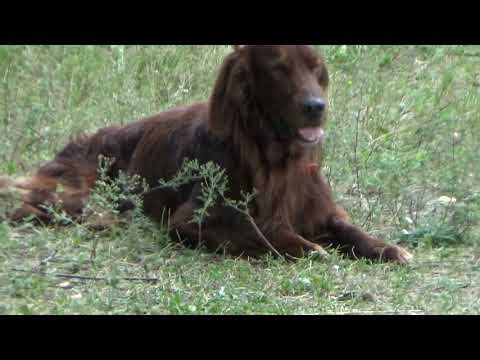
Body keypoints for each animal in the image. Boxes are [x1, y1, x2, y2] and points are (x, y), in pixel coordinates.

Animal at [5, 46, 412, 262]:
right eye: (280, 68)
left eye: (316, 69)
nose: (317, 107)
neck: (273, 157)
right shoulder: (191, 220)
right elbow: (261, 232)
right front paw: (309, 246)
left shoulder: (319, 207)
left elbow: (350, 229)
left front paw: (389, 248)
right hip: (77, 194)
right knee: (24, 206)